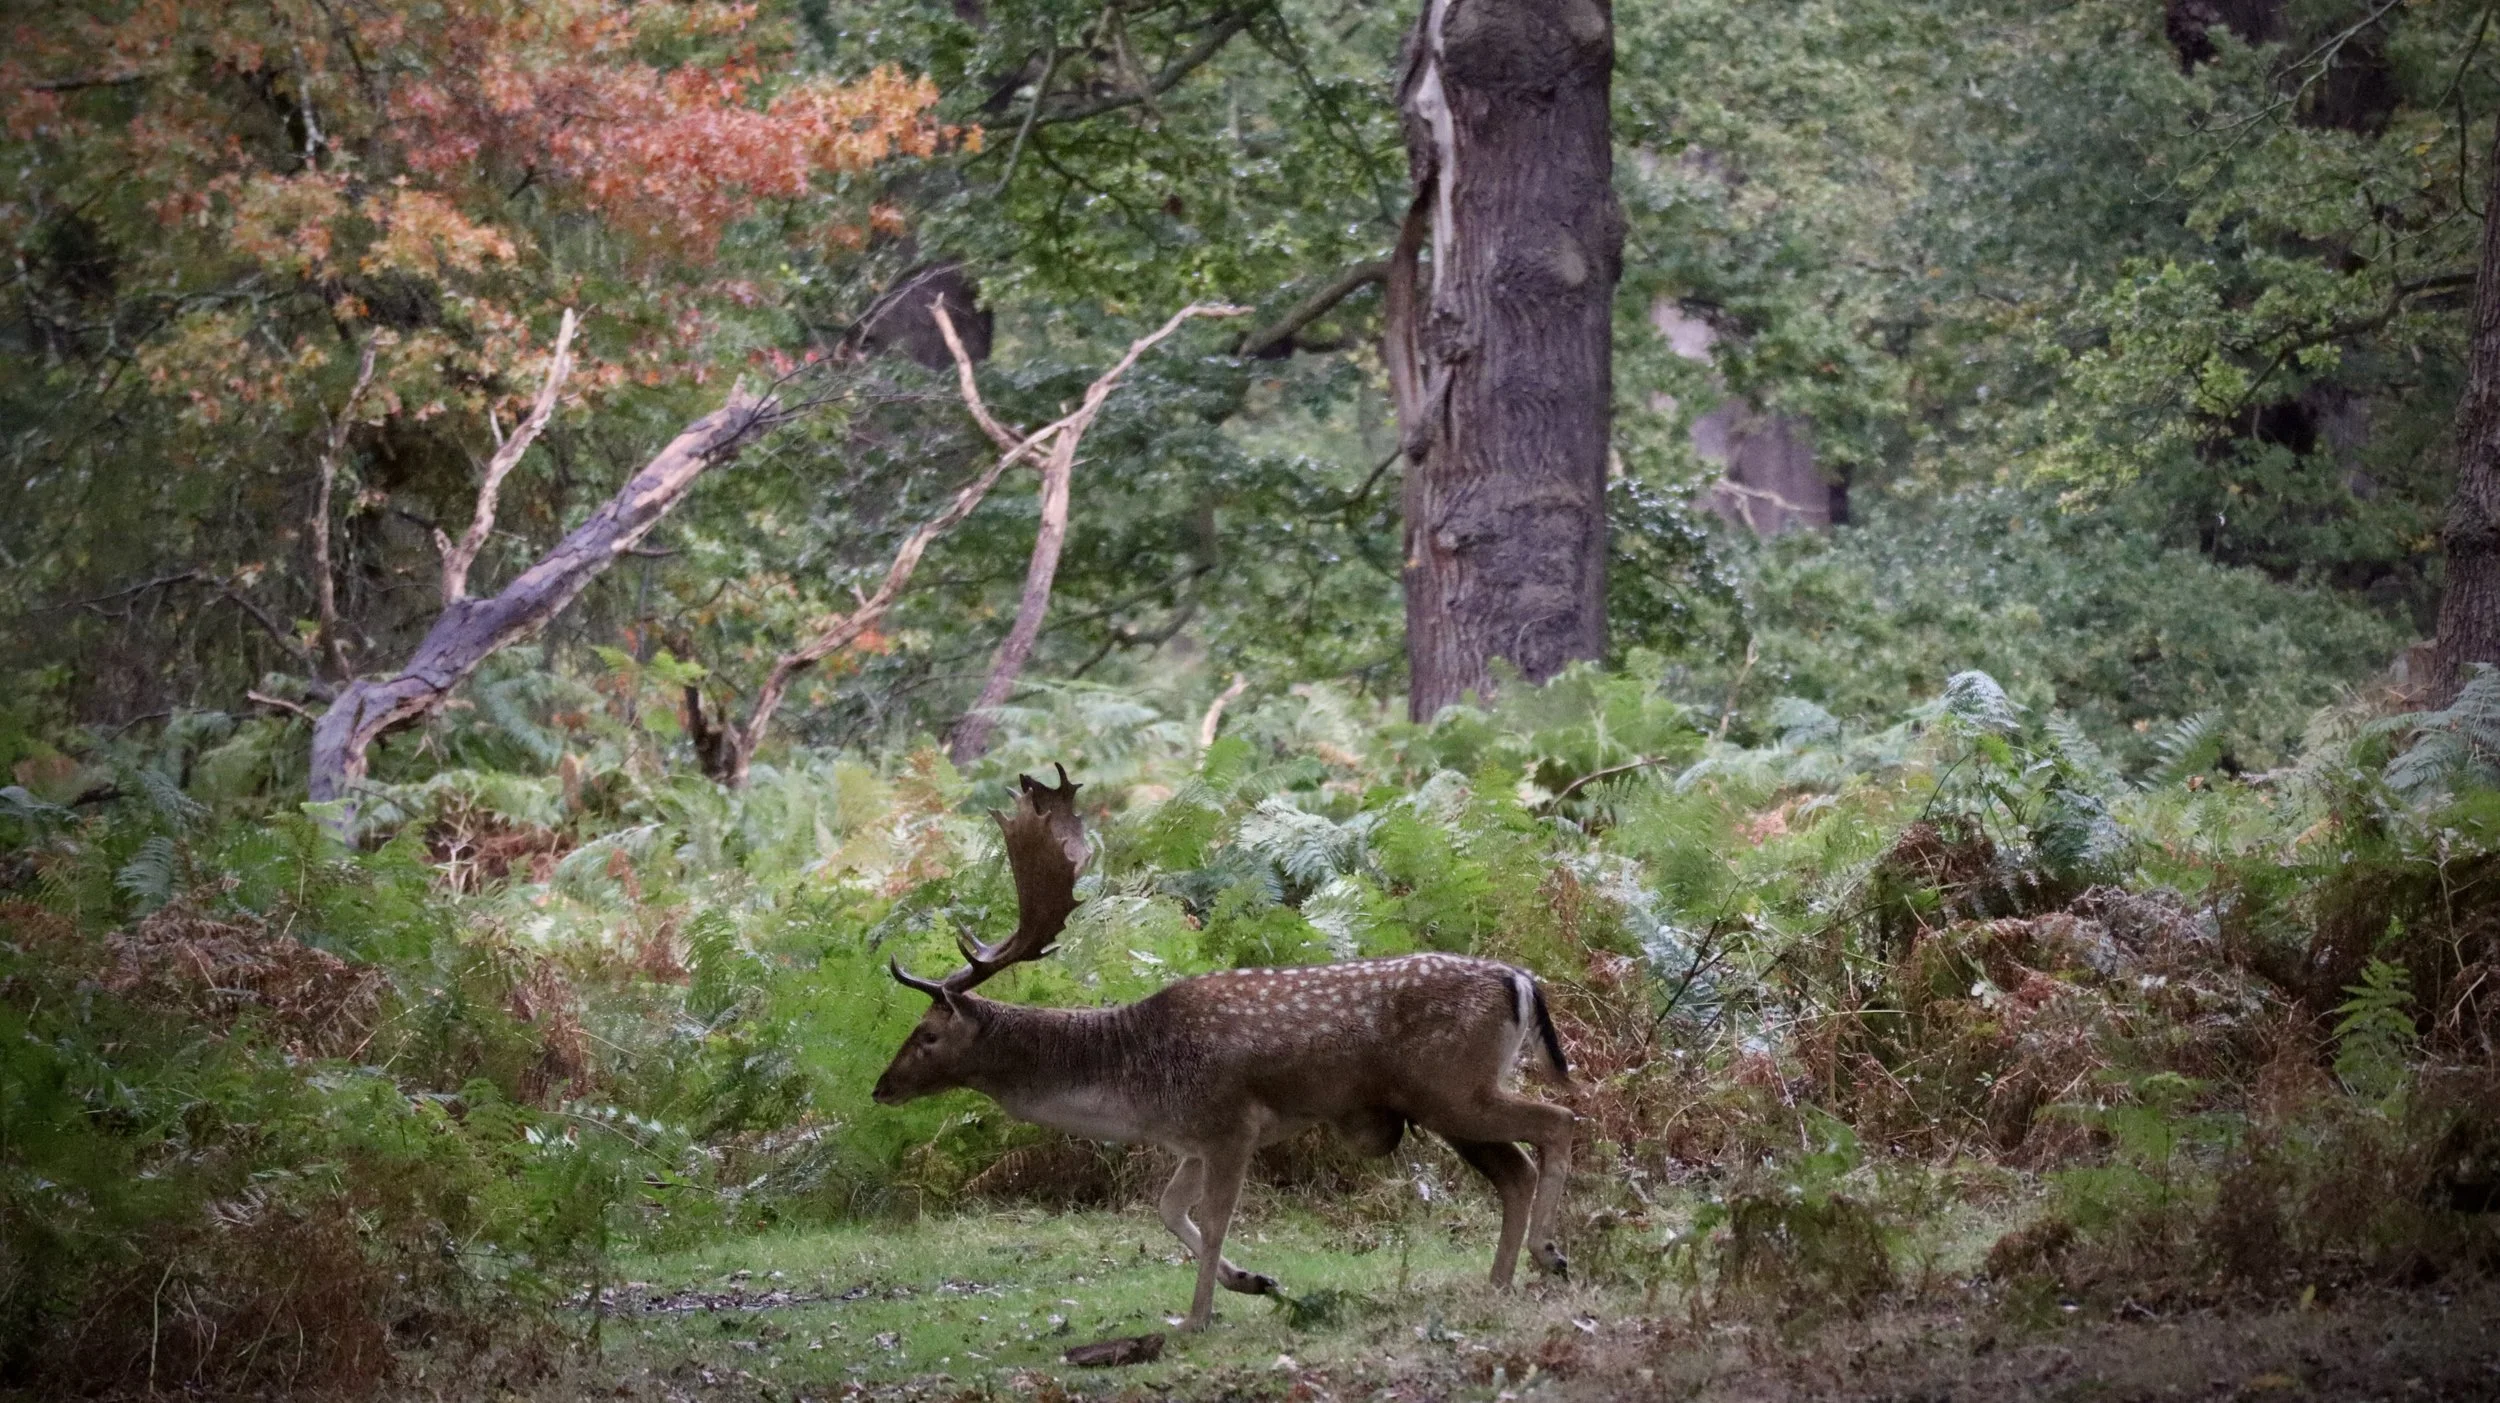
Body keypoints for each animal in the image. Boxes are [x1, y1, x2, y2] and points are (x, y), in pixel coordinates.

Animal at [871, 766, 1575, 1331]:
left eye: (928, 1035)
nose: (880, 1087)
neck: (1132, 1085)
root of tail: (1522, 979)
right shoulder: (1190, 1138)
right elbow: (1167, 1208)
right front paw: (1255, 1282)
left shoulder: (1231, 1123)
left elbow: (1213, 1218)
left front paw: (1197, 1316)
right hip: (1449, 1101)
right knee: (1516, 1169)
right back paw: (1500, 1282)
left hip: (1454, 1087)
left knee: (1560, 1119)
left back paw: (1550, 1255)